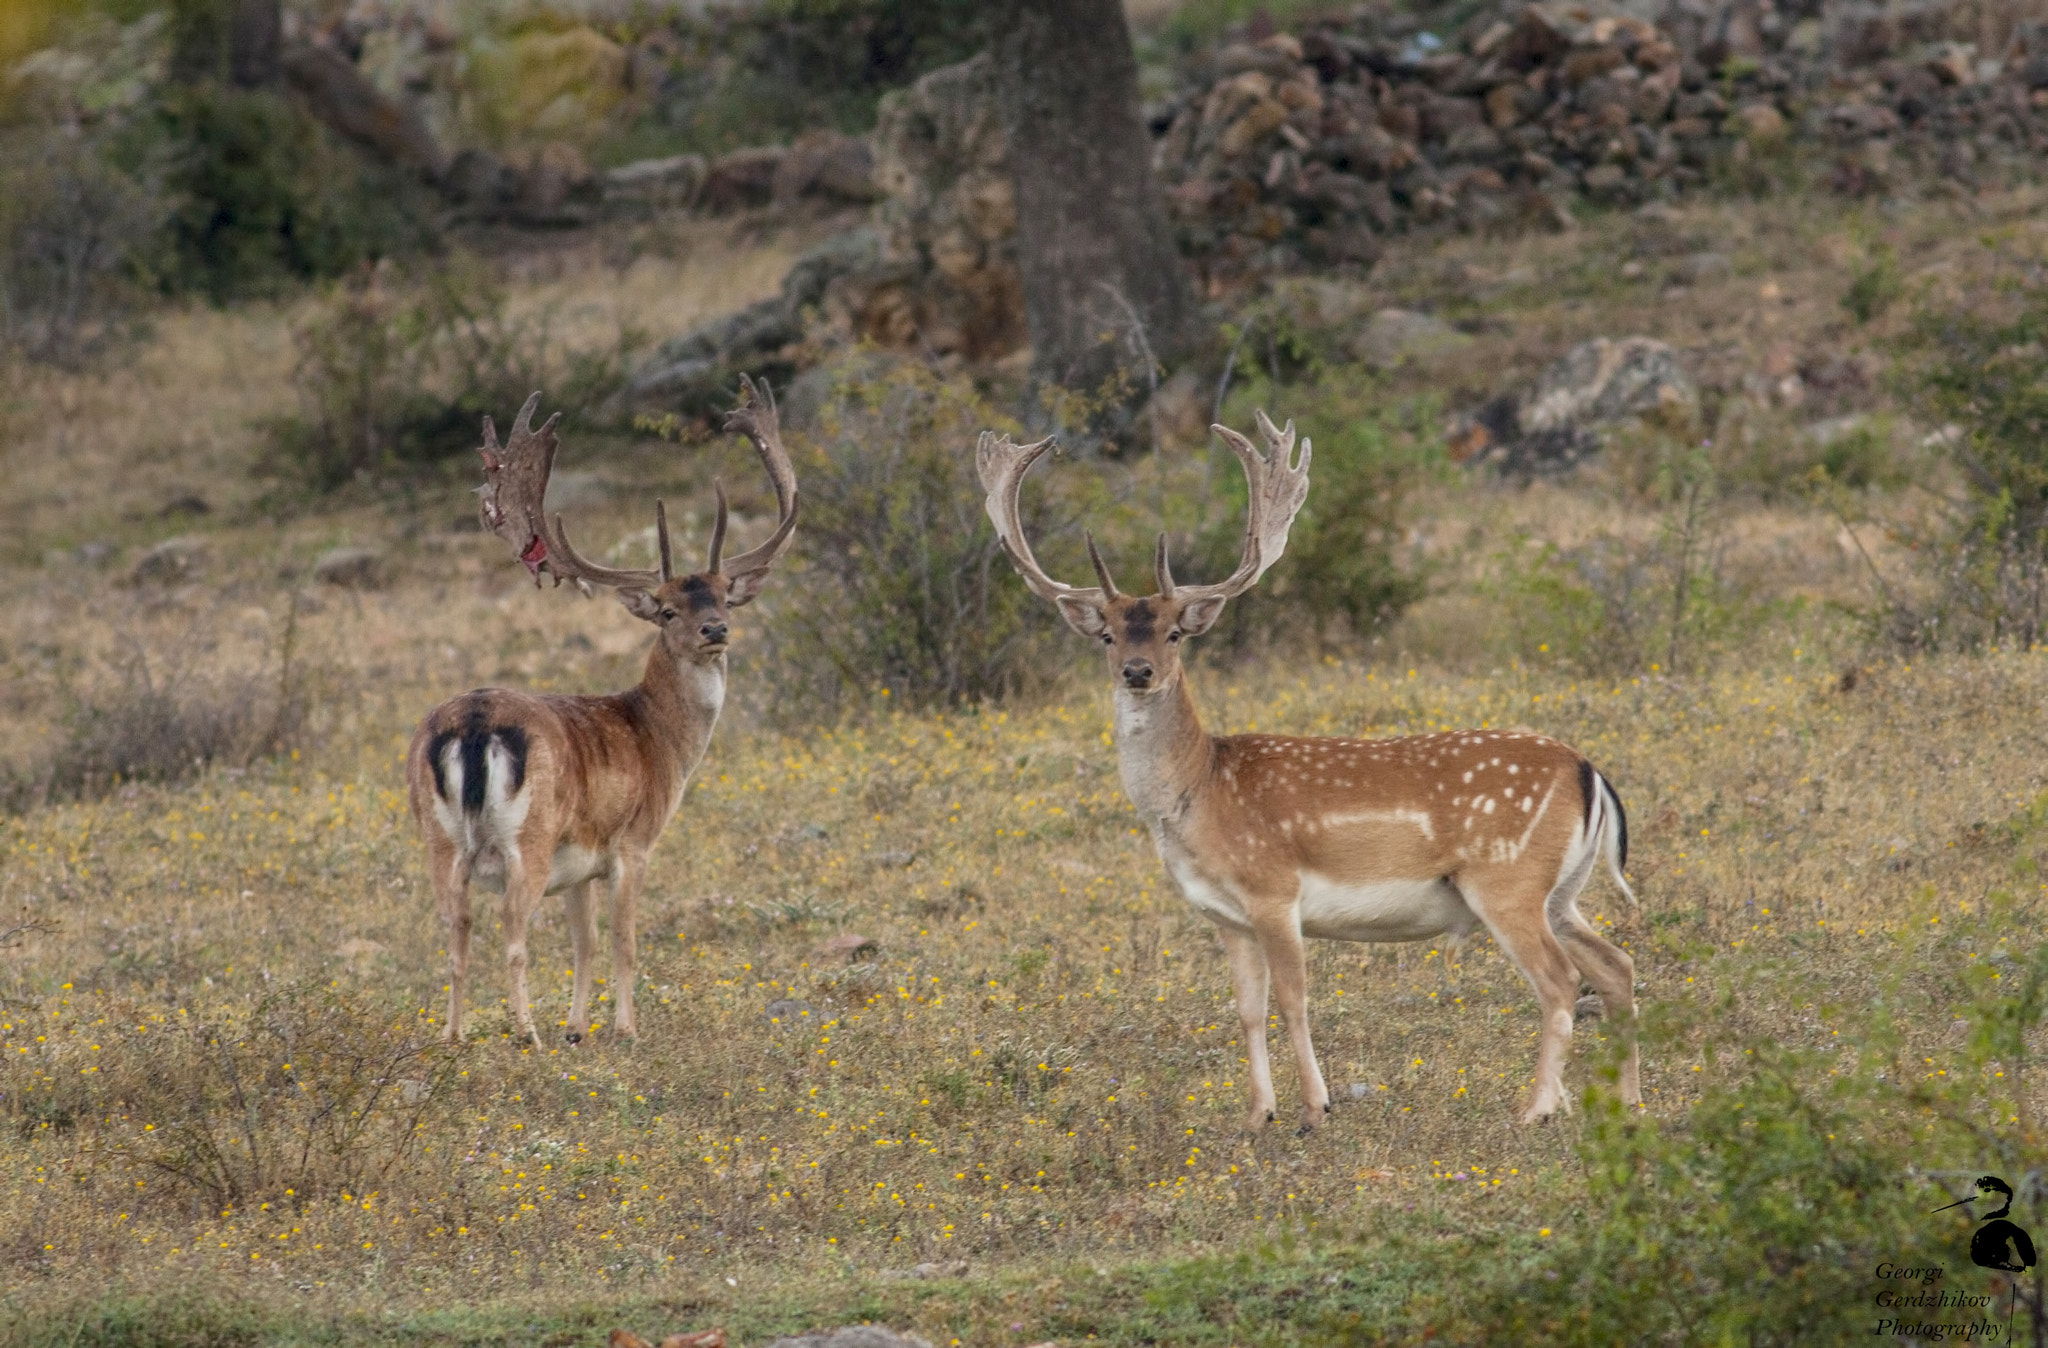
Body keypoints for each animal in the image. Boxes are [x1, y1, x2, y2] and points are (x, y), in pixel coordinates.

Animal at [409, 372, 798, 1044]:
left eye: (725, 596)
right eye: (667, 609)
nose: (716, 630)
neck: (658, 739)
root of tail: (475, 726)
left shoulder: (578, 867)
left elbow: (584, 942)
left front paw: (577, 1027)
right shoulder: (633, 843)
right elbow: (624, 941)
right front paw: (624, 1029)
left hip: (439, 841)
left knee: (454, 934)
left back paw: (454, 1037)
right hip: (527, 838)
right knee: (511, 933)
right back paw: (527, 1035)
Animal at [983, 413, 1638, 1130]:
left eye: (1174, 633)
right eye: (1108, 636)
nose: (1137, 671)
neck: (1200, 793)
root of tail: (1590, 771)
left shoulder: (1274, 891)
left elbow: (1294, 999)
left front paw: (1314, 1108)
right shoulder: (1226, 916)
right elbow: (1247, 1009)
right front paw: (1256, 1116)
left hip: (1508, 881)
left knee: (1561, 981)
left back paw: (1537, 1109)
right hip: (1562, 891)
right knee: (1617, 965)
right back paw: (1628, 1102)